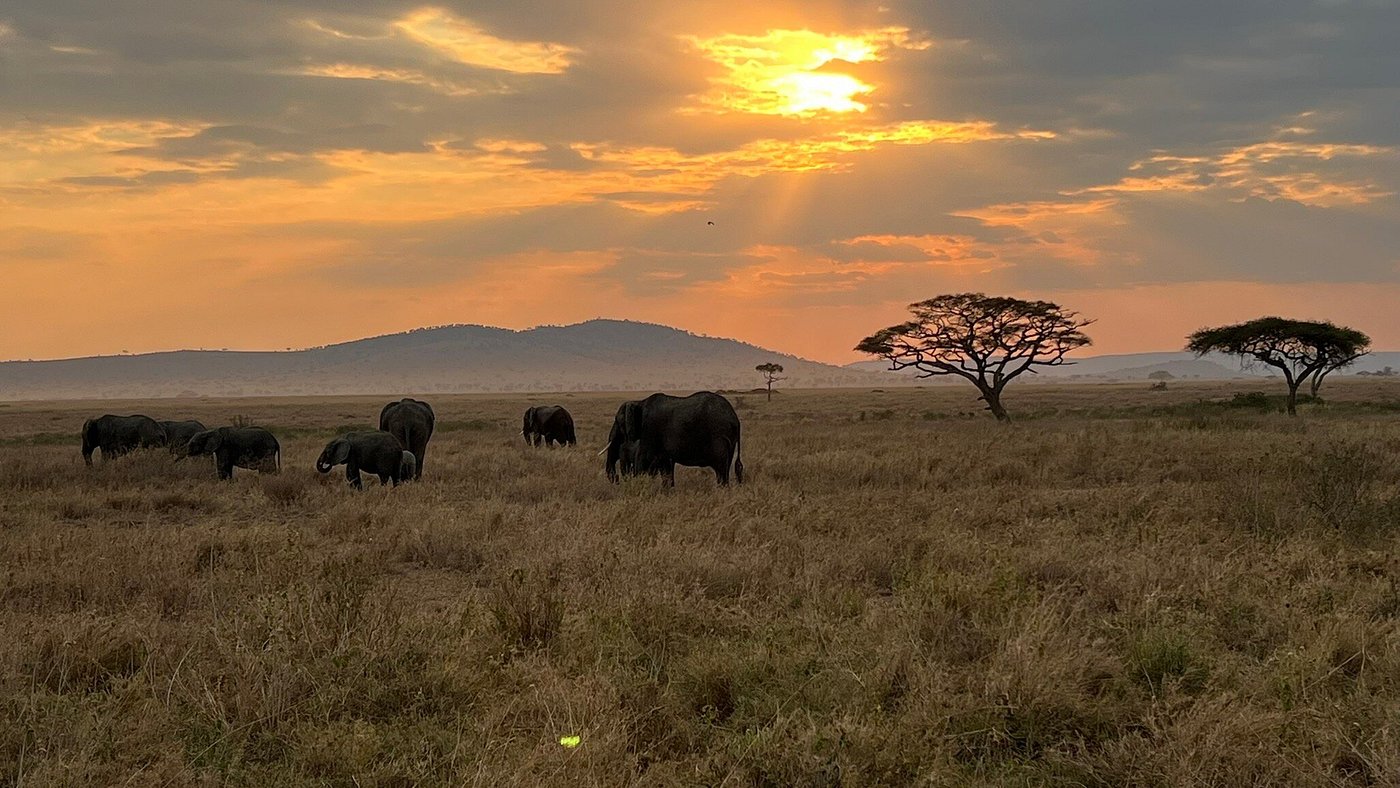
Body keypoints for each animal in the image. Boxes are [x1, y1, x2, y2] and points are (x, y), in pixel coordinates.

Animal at [604, 392, 743, 486]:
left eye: (617, 421)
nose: (616, 479)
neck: (639, 402)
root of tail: (735, 418)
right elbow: (666, 466)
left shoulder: (650, 429)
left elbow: (644, 459)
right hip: (729, 440)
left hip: (719, 436)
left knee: (720, 468)